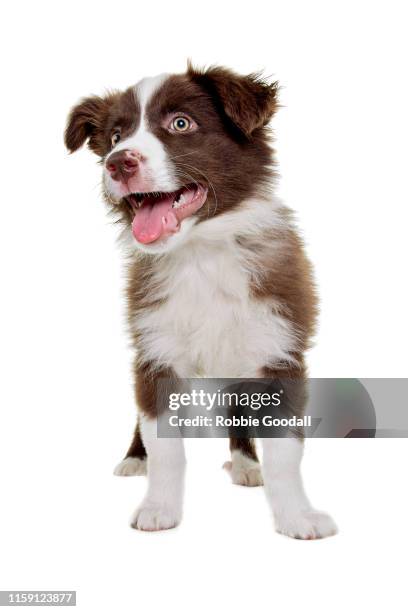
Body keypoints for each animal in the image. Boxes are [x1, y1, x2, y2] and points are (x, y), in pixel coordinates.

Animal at [65, 64, 336, 536]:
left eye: (181, 123)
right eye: (116, 136)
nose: (118, 162)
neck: (201, 254)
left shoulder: (279, 347)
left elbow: (285, 452)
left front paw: (297, 515)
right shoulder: (155, 351)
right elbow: (164, 444)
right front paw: (158, 507)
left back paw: (246, 466)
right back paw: (133, 459)